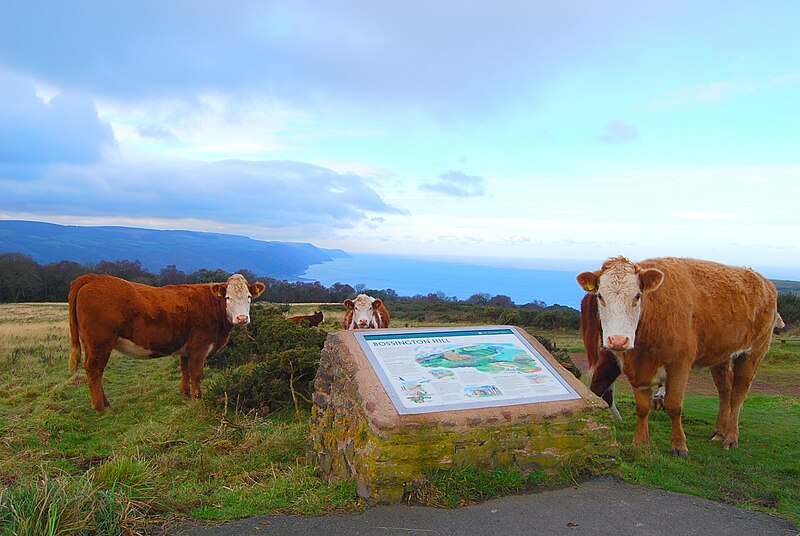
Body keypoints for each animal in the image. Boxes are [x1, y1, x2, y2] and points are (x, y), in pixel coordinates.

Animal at [67, 272, 264, 410]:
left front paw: (185, 394)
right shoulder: (199, 347)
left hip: (90, 342)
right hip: (100, 341)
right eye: (228, 298)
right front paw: (197, 397)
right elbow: (196, 373)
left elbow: (184, 370)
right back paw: (100, 407)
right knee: (95, 370)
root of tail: (91, 278)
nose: (241, 318)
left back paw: (105, 403)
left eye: (249, 297)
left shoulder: (186, 348)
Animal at [580, 256, 780, 456]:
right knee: (725, 391)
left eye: (637, 296)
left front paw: (679, 445)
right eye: (600, 296)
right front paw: (641, 443)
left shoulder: (680, 365)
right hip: (721, 357)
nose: (618, 341)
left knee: (738, 393)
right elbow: (642, 407)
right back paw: (719, 431)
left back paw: (731, 437)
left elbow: (674, 405)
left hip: (754, 352)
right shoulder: (635, 368)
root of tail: (764, 281)